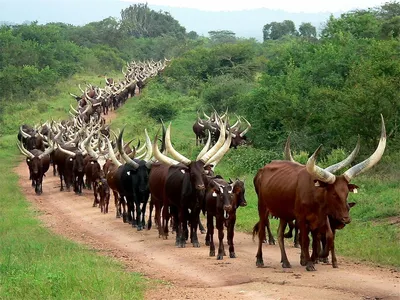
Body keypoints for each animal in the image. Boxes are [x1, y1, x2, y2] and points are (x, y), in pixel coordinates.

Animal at [255, 116, 386, 270]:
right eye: (334, 193)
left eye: (347, 193)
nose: (346, 218)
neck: (315, 198)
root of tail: (263, 169)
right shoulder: (301, 218)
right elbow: (305, 240)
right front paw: (309, 263)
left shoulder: (320, 219)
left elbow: (321, 239)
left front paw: (317, 257)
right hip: (263, 208)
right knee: (262, 231)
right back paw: (260, 260)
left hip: (283, 214)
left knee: (280, 234)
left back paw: (286, 262)